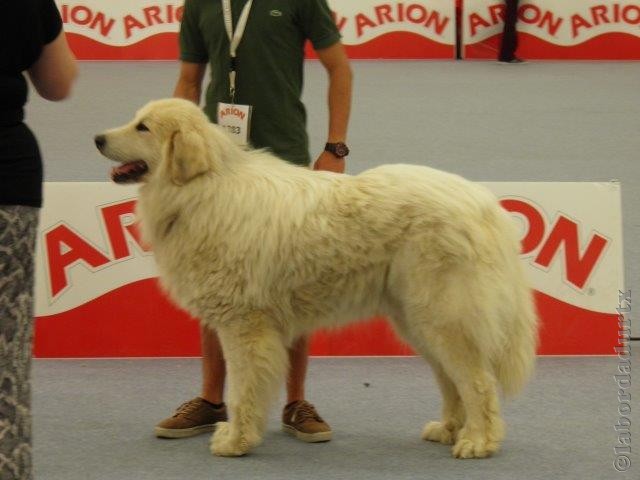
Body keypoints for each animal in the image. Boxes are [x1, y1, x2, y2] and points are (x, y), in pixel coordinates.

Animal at [92, 97, 536, 458]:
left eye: (143, 128)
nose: (96, 138)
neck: (203, 189)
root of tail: (484, 203)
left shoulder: (243, 326)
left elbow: (242, 391)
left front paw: (236, 441)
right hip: (419, 322)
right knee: (452, 381)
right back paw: (448, 429)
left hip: (443, 318)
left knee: (477, 383)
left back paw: (478, 442)